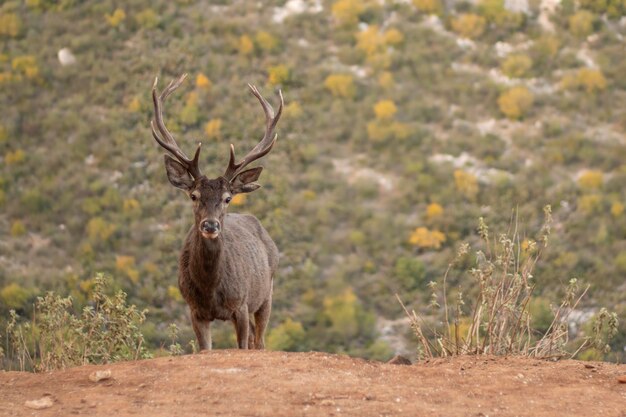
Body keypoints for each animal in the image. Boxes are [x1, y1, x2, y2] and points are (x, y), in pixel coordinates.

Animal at [150, 74, 282, 348]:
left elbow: (243, 346)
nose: (210, 225)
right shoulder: (195, 311)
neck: (211, 290)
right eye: (194, 195)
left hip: (266, 293)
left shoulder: (240, 305)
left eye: (227, 198)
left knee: (259, 341)